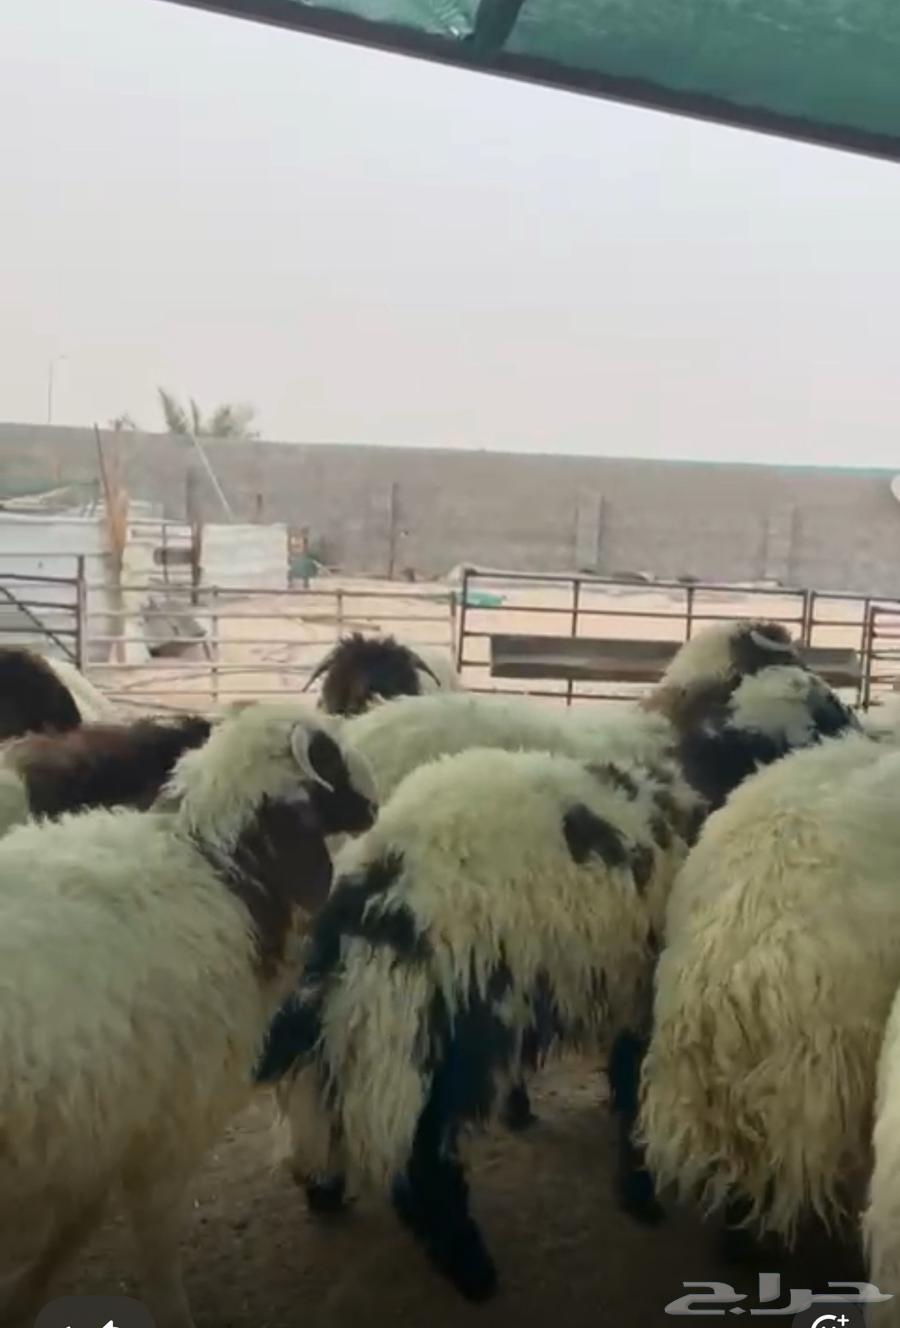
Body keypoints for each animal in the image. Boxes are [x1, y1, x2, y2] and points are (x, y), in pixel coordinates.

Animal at [257, 742, 703, 1300]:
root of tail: (372, 904)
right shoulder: (639, 991)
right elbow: (632, 1092)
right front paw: (640, 1195)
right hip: (444, 1031)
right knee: (421, 1160)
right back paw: (471, 1268)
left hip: (367, 1018)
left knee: (329, 1100)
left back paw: (327, 1193)